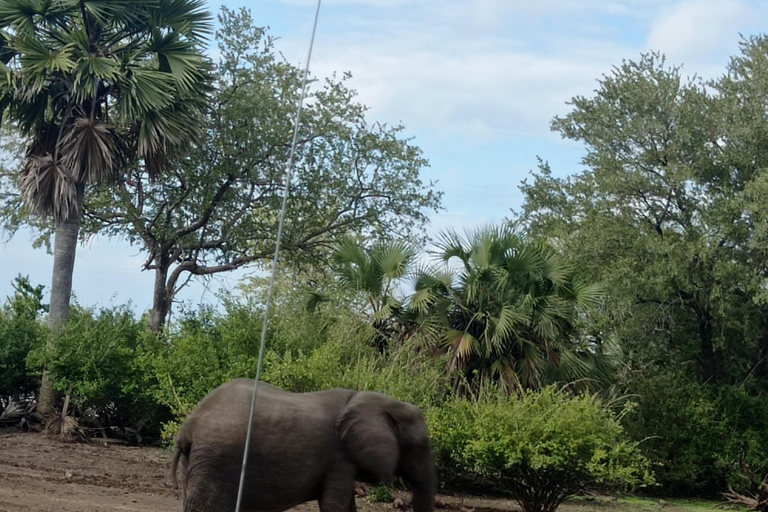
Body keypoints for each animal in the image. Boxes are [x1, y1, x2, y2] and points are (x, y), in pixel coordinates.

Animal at [170, 376, 436, 512]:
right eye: (420, 446)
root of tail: (187, 427)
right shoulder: (339, 458)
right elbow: (333, 505)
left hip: (195, 461)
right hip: (216, 459)